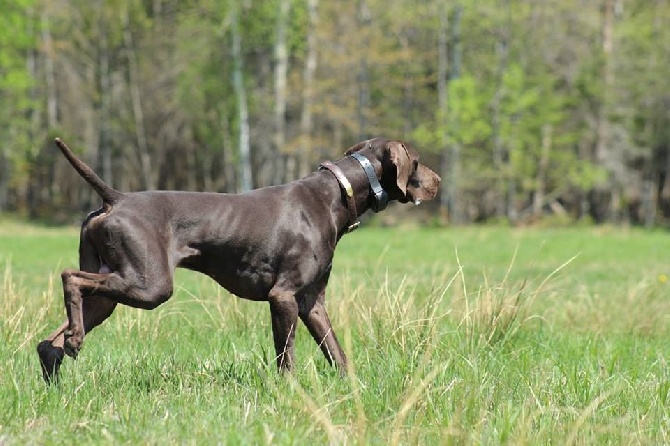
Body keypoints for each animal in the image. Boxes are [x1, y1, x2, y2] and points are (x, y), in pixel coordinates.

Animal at [39, 137, 444, 384]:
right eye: (417, 162)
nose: (438, 180)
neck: (334, 195)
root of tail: (116, 198)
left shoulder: (312, 302)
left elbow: (336, 353)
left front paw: (353, 388)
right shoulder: (283, 297)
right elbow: (286, 358)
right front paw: (291, 393)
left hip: (111, 293)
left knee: (49, 343)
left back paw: (61, 364)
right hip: (149, 286)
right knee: (69, 277)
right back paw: (74, 340)